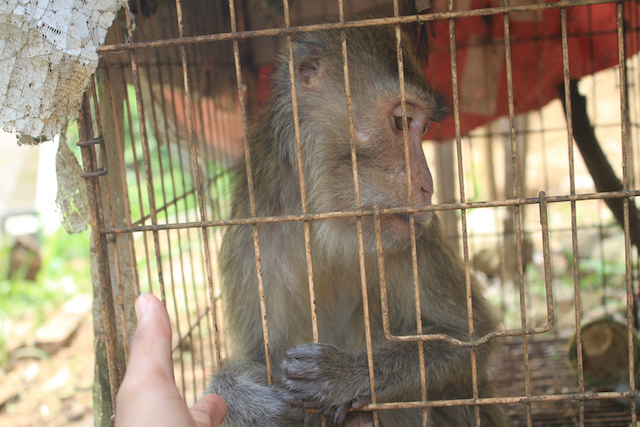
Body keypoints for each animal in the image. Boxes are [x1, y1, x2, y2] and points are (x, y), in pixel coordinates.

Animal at [208, 25, 508, 426]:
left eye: (425, 127)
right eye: (402, 122)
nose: (426, 186)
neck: (327, 225)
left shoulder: (417, 237)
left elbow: (469, 337)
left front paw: (346, 373)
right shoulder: (250, 244)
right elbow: (261, 360)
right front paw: (241, 399)